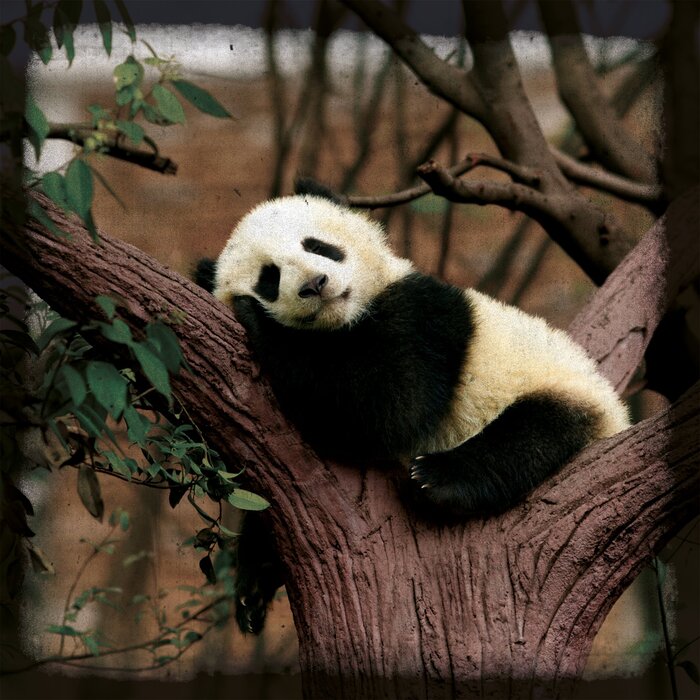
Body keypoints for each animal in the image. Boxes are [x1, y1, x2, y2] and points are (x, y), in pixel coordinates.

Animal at [195, 179, 629, 632]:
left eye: (318, 246)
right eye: (270, 278)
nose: (315, 283)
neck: (345, 321)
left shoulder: (424, 315)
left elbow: (391, 406)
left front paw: (259, 322)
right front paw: (253, 583)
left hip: (562, 388)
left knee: (532, 433)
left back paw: (439, 478)